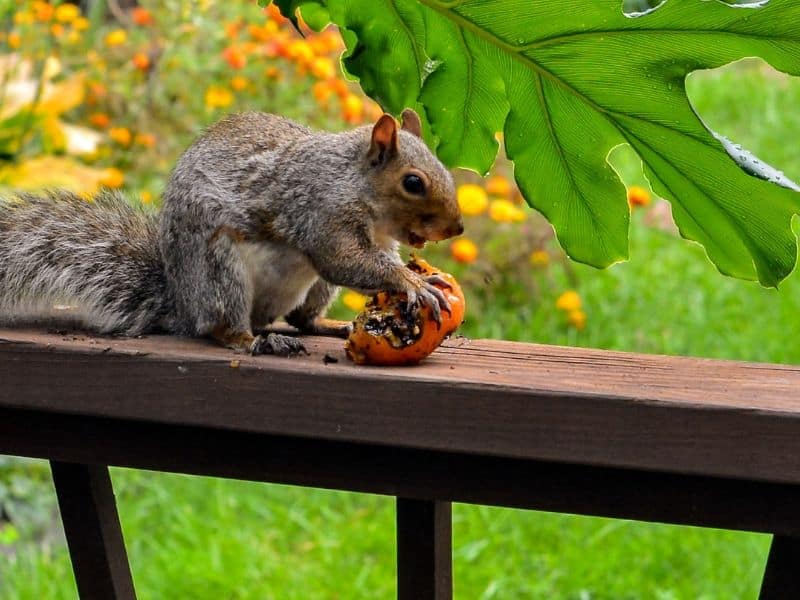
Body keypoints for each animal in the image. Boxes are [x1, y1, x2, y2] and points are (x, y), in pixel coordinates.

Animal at [0, 109, 462, 356]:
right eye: (413, 182)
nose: (456, 227)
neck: (353, 180)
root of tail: (183, 306)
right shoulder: (320, 212)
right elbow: (343, 260)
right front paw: (413, 284)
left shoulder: (379, 239)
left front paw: (416, 276)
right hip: (220, 272)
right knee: (224, 328)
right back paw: (254, 342)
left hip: (309, 289)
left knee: (301, 318)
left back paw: (328, 326)